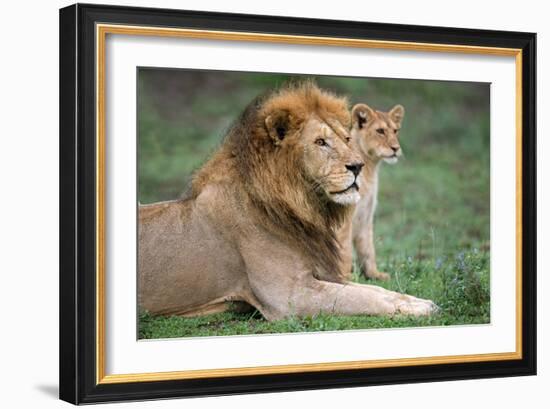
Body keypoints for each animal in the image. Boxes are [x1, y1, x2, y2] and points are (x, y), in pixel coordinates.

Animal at [352, 102, 408, 280]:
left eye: (395, 131)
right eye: (380, 131)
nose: (396, 148)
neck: (371, 168)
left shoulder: (366, 215)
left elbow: (368, 248)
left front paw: (374, 274)